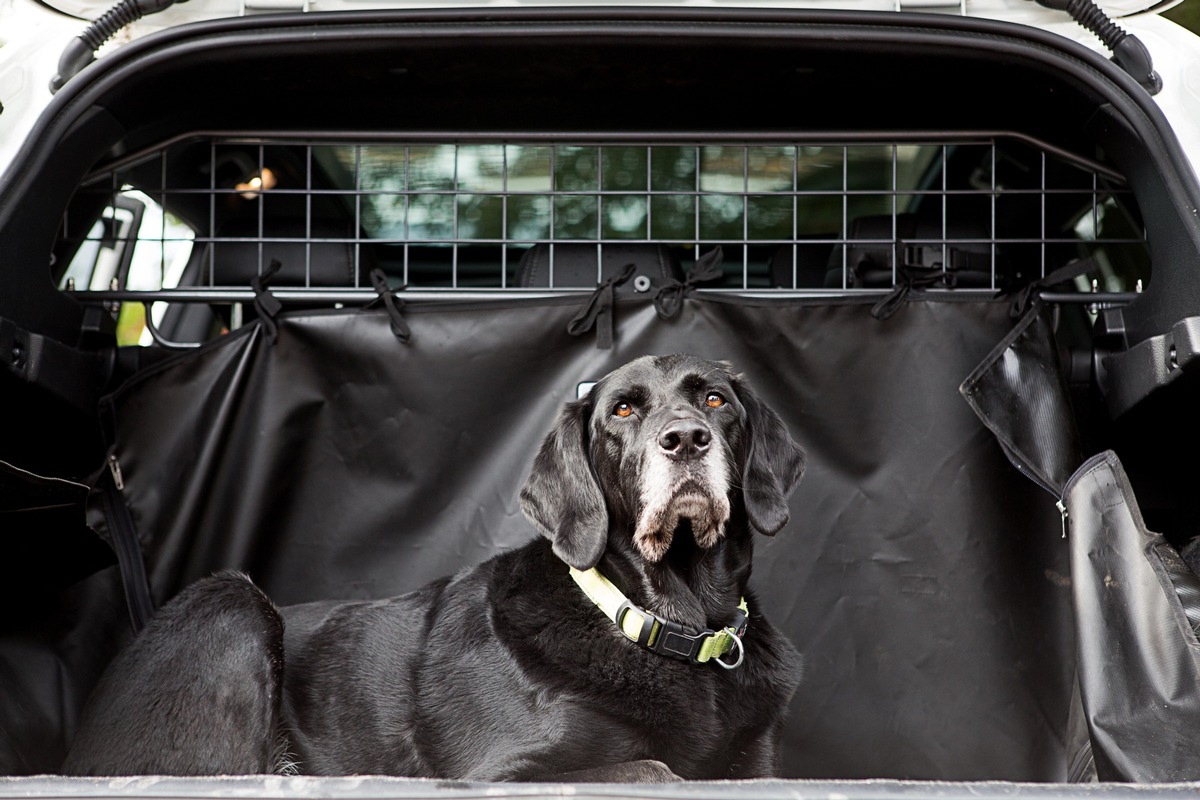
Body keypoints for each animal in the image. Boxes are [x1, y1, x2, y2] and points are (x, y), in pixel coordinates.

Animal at [60, 355, 801, 782]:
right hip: (227, 601)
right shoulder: (500, 773)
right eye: (622, 409)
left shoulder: (759, 759)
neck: (668, 622)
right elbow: (656, 770)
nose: (686, 439)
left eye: (716, 401)